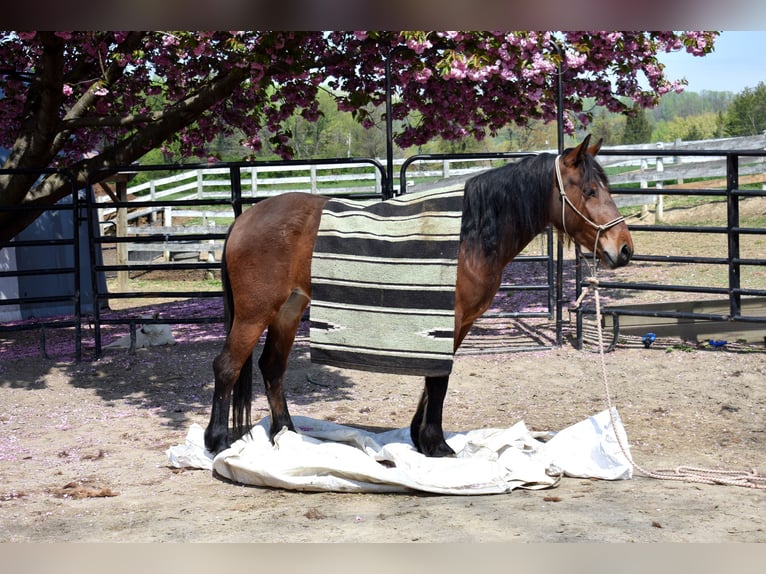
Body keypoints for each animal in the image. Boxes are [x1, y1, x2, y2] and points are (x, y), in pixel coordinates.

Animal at [204, 134, 634, 457]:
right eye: (590, 191)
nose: (624, 249)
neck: (469, 235)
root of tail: (243, 219)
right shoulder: (450, 319)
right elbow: (438, 379)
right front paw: (436, 444)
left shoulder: (456, 325)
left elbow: (432, 379)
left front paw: (420, 437)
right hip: (254, 314)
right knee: (227, 366)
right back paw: (218, 441)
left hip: (288, 310)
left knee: (272, 368)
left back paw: (287, 435)